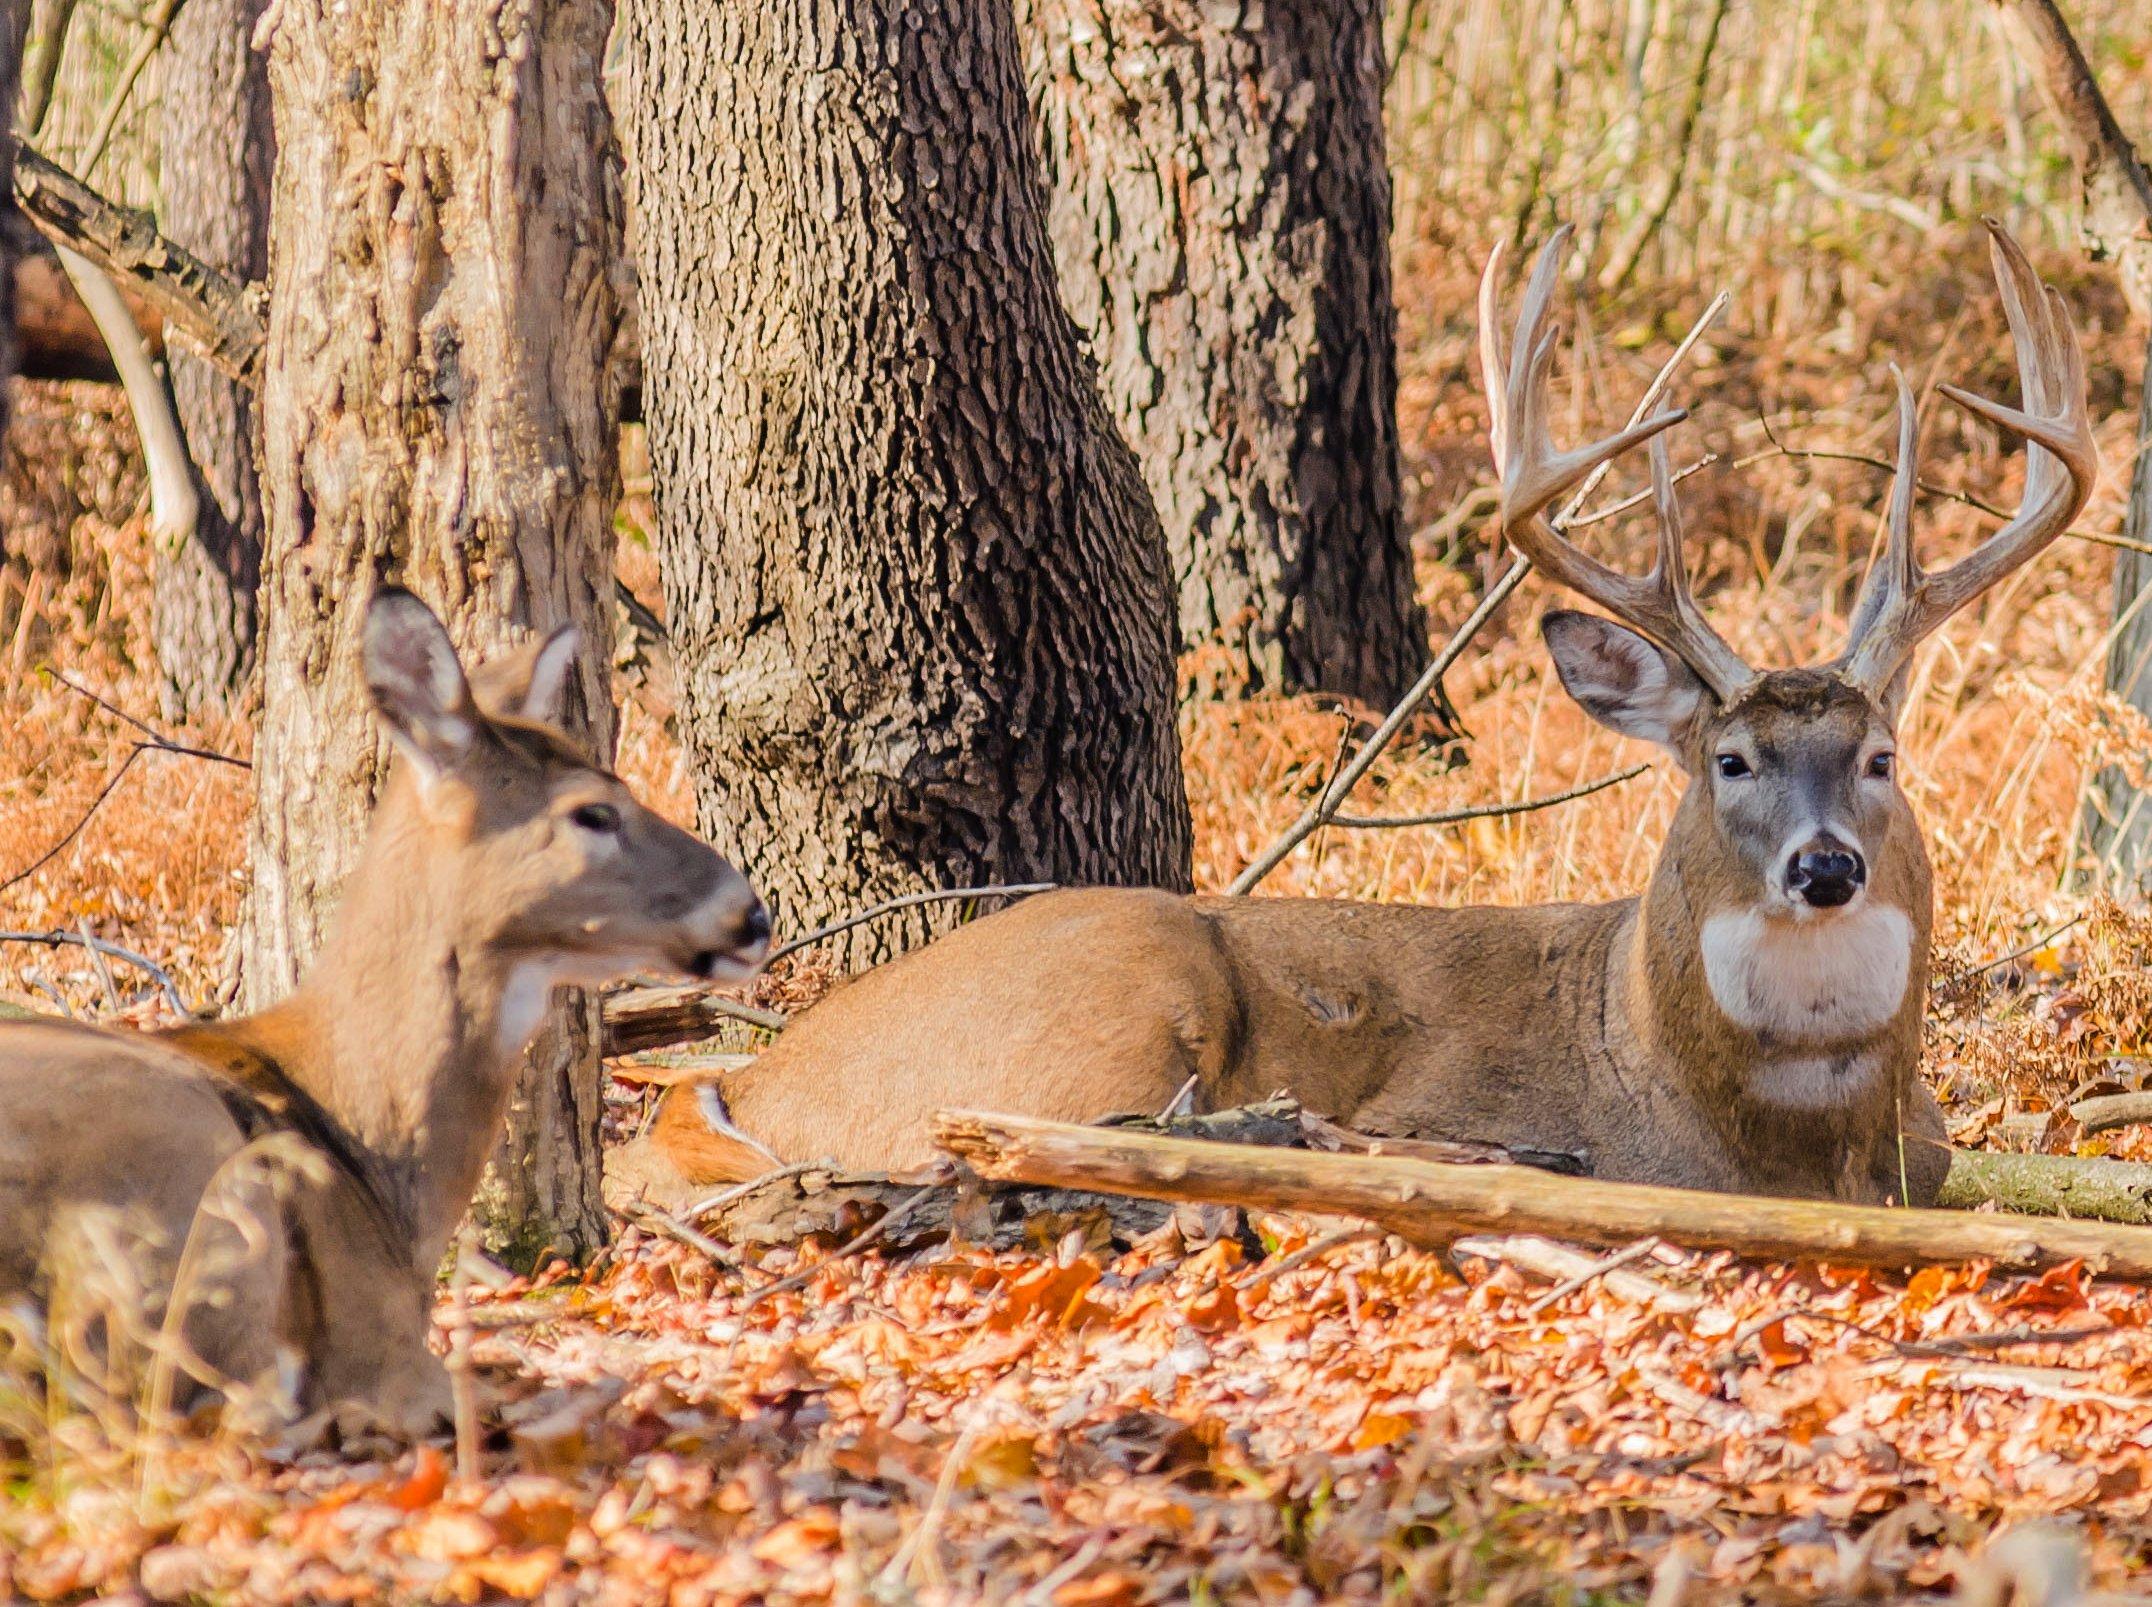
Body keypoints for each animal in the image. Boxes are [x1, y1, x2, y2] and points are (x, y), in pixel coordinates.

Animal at [615, 220, 2091, 1213]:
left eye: (1881, 754)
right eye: (1729, 758)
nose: (1825, 863)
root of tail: (751, 1074)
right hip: (1121, 986)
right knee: (1018, 1132)